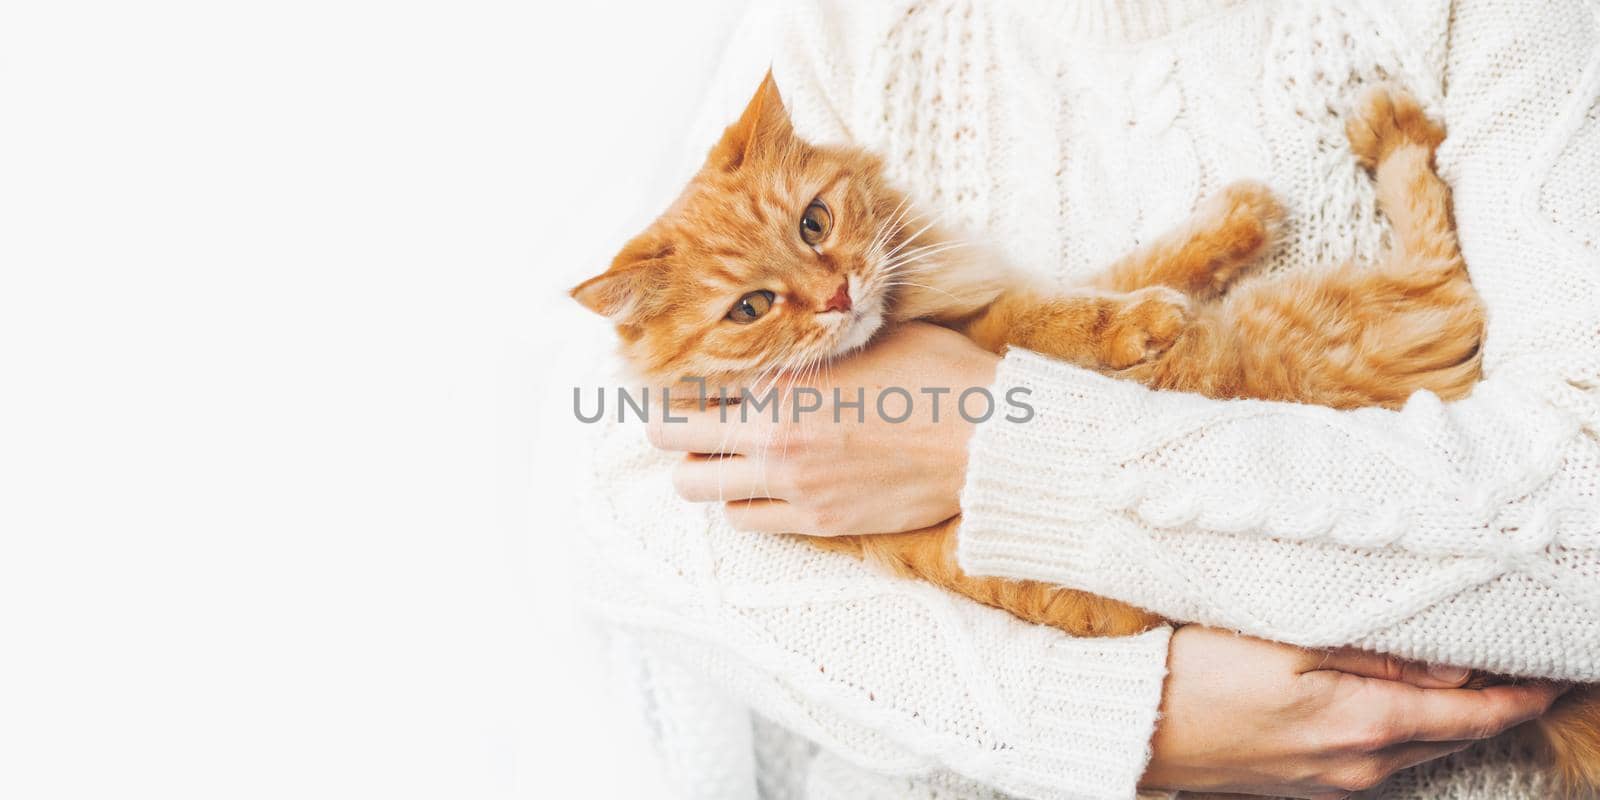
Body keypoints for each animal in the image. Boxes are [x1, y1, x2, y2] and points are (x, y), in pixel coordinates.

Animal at [569, 76, 1593, 793]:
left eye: (814, 222)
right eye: (750, 308)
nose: (835, 295)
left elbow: (1146, 259)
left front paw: (1230, 224)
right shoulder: (1006, 328)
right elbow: (1078, 312)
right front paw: (1151, 311)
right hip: (1307, 322)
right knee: (1444, 272)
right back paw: (1388, 129)